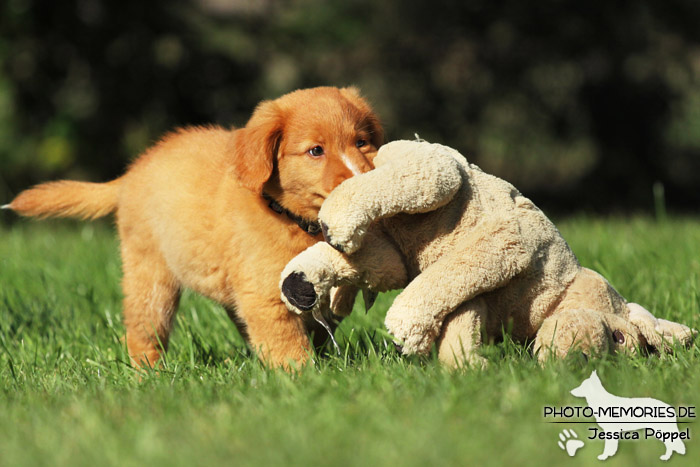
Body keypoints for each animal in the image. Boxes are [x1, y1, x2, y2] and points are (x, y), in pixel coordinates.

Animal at [4, 87, 382, 370]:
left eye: (361, 142)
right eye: (315, 151)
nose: (363, 180)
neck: (293, 219)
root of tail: (129, 176)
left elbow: (321, 323)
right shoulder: (264, 294)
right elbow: (287, 343)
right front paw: (303, 377)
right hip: (151, 278)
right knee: (143, 333)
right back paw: (149, 377)